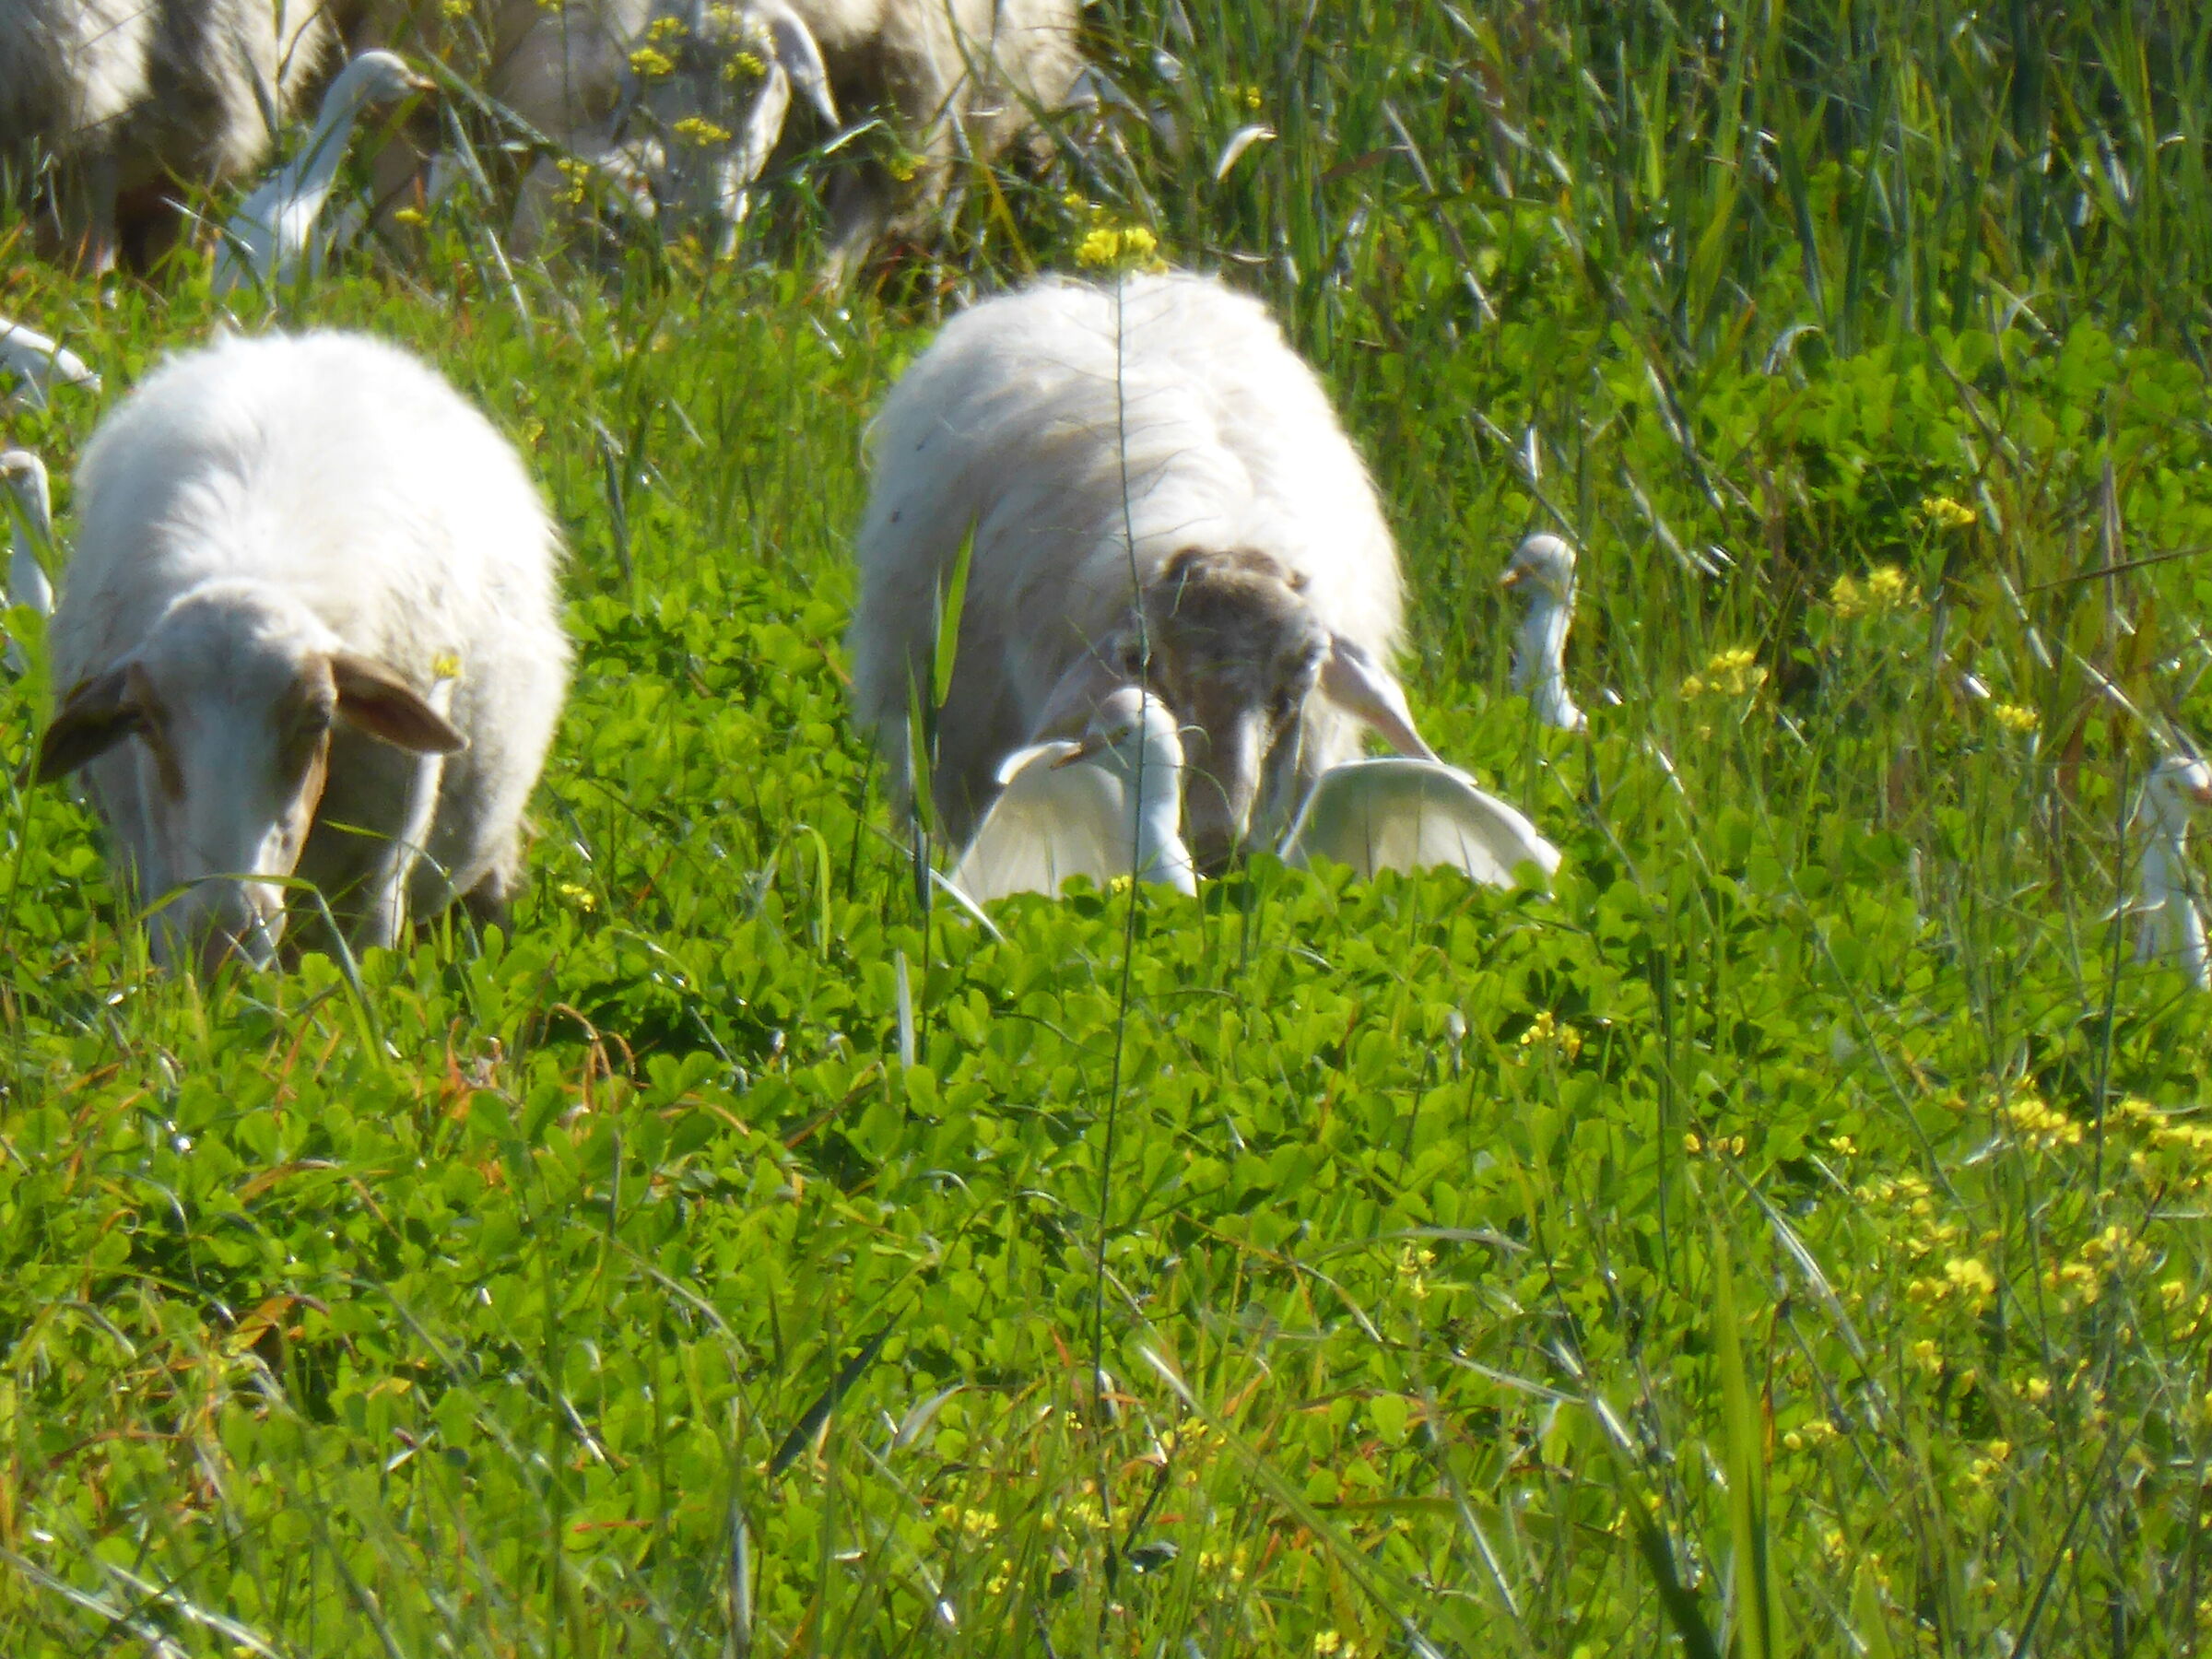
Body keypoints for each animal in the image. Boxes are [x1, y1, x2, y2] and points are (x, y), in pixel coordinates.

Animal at [35, 329, 571, 974]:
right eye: (140, 719)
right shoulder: (155, 866)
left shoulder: (379, 877)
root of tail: (307, 339)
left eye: (320, 717)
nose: (225, 937)